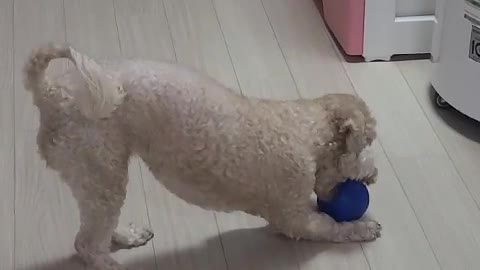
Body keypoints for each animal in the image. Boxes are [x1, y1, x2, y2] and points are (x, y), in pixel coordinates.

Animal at [23, 43, 382, 270]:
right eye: (367, 143)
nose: (374, 175)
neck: (306, 132)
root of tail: (50, 93)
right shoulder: (294, 217)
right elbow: (331, 227)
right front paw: (363, 228)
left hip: (96, 174)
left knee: (96, 228)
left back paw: (128, 234)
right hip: (98, 167)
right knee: (86, 244)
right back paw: (112, 265)